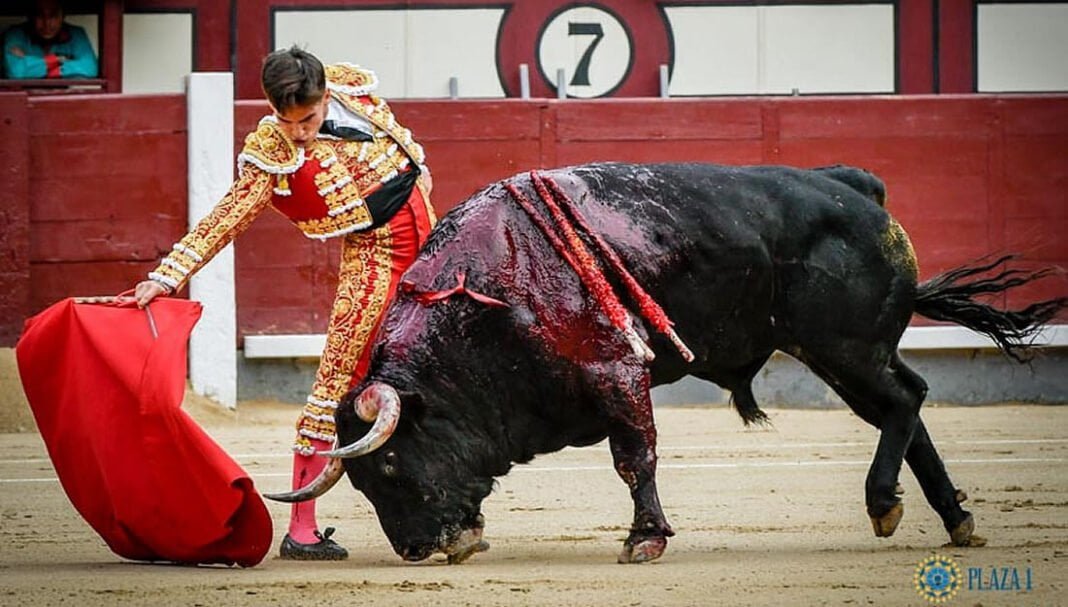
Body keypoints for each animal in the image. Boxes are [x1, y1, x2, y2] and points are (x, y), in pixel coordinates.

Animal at [264, 162, 1059, 564]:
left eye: (391, 465)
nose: (414, 548)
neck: (487, 293)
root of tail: (858, 188)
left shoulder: (618, 372)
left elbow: (635, 456)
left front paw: (645, 538)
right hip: (847, 353)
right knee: (908, 404)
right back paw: (951, 519)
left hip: (846, 348)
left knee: (904, 402)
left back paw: (881, 503)